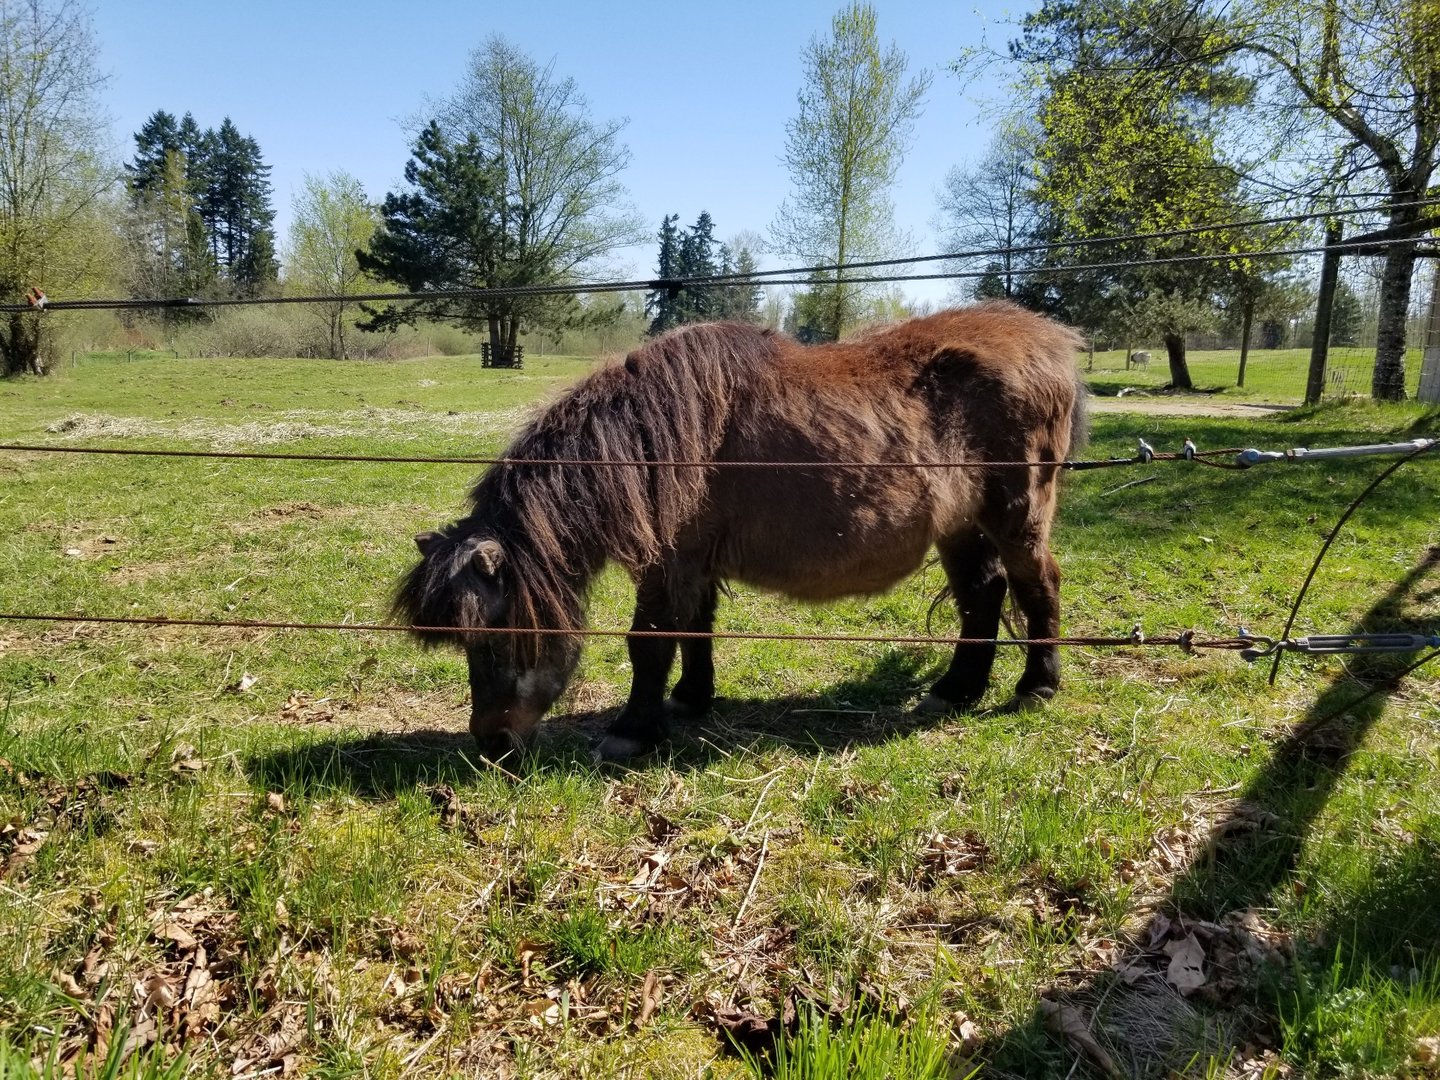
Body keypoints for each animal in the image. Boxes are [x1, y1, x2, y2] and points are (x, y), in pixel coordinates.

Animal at [395, 302, 1086, 761]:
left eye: (496, 634)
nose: (491, 742)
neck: (652, 441)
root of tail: (1050, 339)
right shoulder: (692, 561)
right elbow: (695, 631)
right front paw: (691, 699)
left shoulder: (668, 563)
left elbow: (650, 643)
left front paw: (632, 730)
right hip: (961, 526)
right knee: (982, 595)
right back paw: (957, 690)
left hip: (1018, 517)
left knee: (1037, 586)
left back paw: (1036, 687)